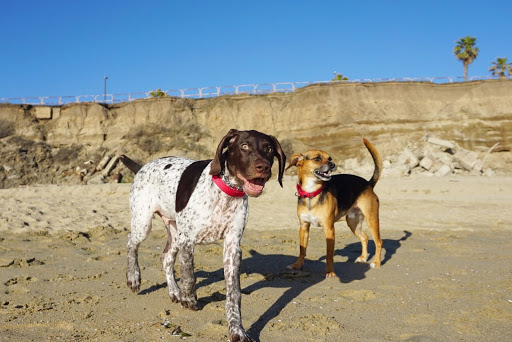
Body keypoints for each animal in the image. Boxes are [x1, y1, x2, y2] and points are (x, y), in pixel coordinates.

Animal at [286, 138, 382, 278]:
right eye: (317, 158)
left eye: (329, 158)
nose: (332, 164)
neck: (311, 193)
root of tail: (368, 184)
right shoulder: (304, 227)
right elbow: (302, 250)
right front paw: (297, 265)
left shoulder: (329, 229)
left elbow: (329, 255)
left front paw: (330, 272)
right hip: (353, 222)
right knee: (365, 237)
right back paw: (363, 258)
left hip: (372, 220)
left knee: (378, 242)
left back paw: (376, 262)